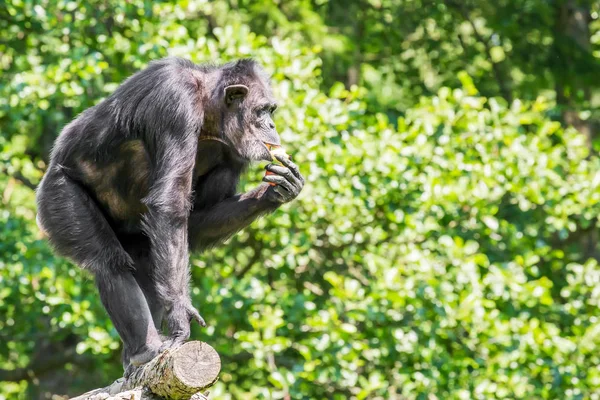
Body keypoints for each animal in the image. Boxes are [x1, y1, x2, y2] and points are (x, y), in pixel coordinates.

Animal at [35, 57, 302, 374]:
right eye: (262, 110)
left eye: (271, 111)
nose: (272, 125)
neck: (208, 111)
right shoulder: (175, 102)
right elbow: (171, 203)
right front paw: (180, 312)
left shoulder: (234, 154)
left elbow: (196, 223)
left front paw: (278, 189)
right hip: (57, 197)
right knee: (110, 263)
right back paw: (146, 349)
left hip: (136, 235)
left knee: (147, 271)